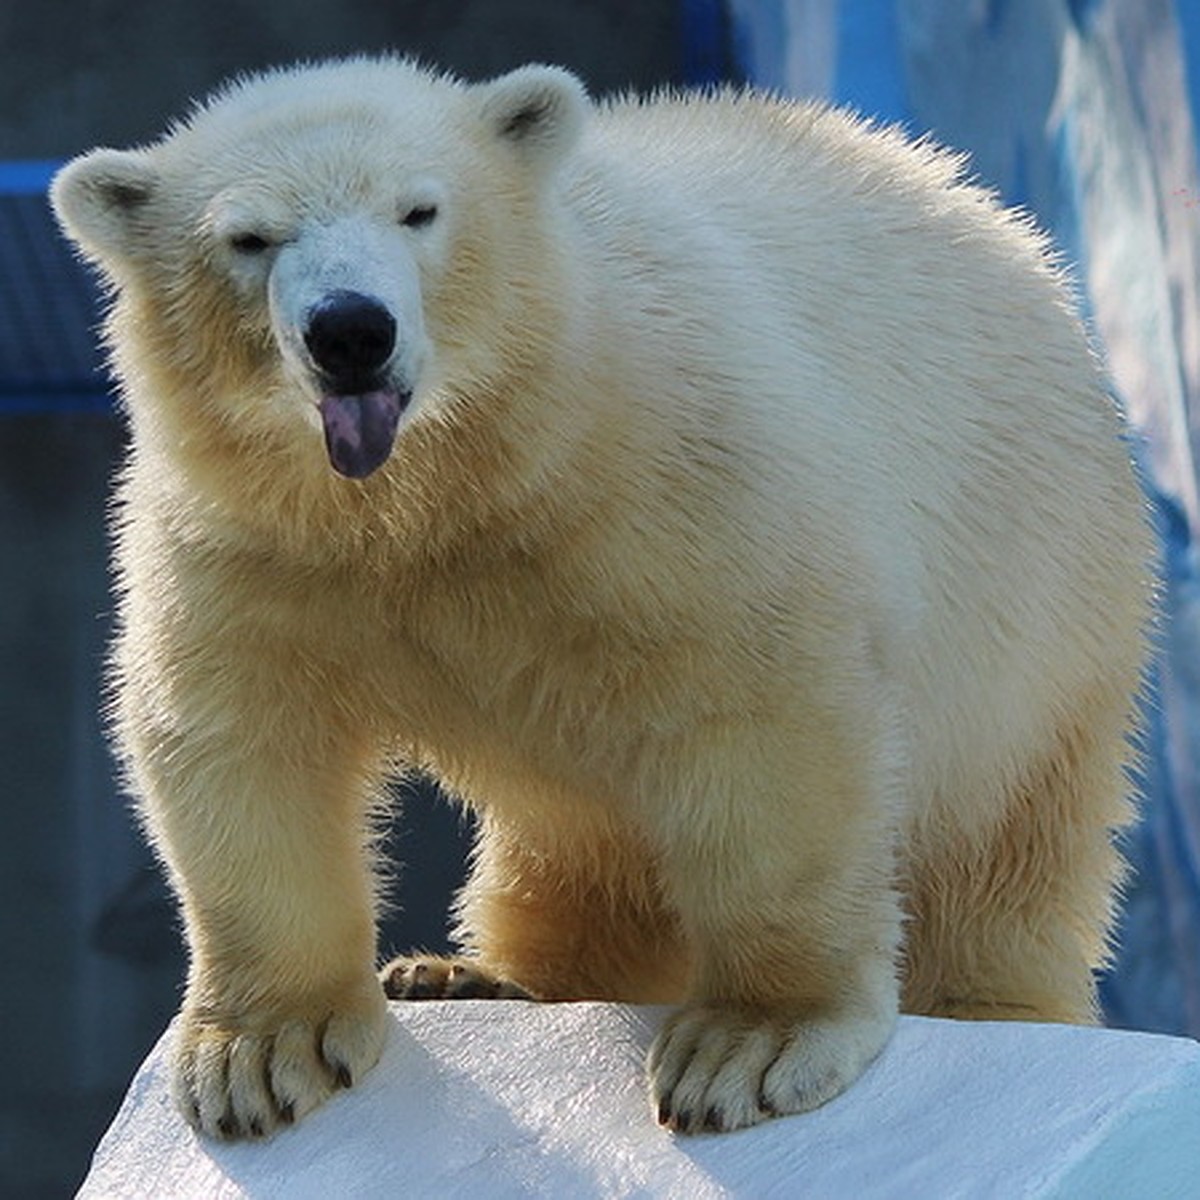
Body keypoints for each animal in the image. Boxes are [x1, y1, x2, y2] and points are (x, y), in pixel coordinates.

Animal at [54, 56, 1152, 1137]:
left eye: (420, 209)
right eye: (248, 238)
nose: (350, 330)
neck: (442, 485)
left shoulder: (667, 469)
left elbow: (759, 710)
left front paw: (752, 1046)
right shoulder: (251, 538)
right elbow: (239, 735)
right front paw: (262, 1055)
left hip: (1034, 602)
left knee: (1003, 841)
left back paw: (989, 1005)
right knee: (573, 843)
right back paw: (467, 976)